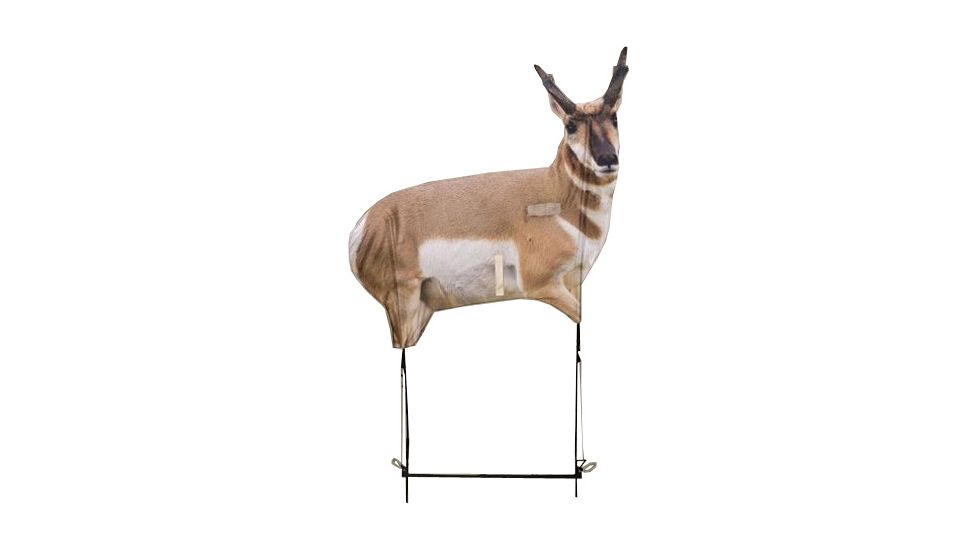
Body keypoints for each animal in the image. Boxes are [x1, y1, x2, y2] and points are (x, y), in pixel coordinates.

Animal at [349, 48, 629, 348]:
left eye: (614, 118)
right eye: (571, 125)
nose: (608, 159)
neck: (556, 193)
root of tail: (365, 224)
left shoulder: (574, 282)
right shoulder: (543, 285)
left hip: (422, 309)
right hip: (405, 304)